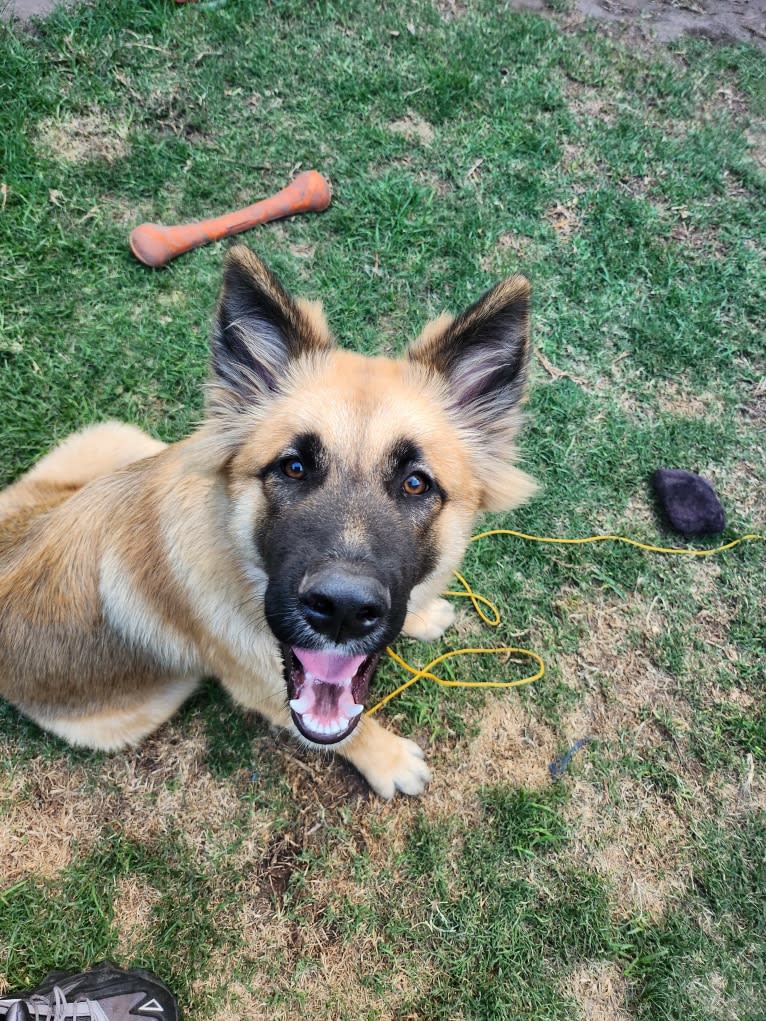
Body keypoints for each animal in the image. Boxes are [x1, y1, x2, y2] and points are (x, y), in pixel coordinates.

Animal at [0, 247, 535, 796]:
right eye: (293, 467)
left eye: (415, 483)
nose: (342, 611)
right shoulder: (265, 690)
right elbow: (350, 731)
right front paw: (388, 759)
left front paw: (422, 616)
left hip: (118, 438)